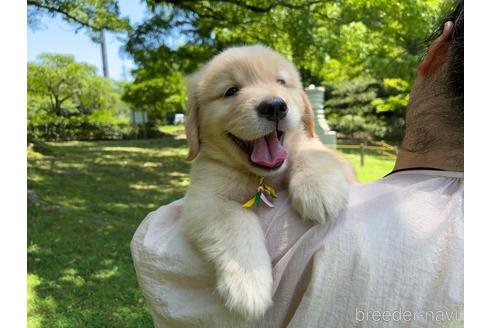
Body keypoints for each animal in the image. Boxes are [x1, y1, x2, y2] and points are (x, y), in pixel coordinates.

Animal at [181, 44, 354, 320]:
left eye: (281, 82)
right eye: (231, 90)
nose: (274, 107)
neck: (263, 176)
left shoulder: (332, 158)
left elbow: (311, 151)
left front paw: (318, 191)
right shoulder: (204, 199)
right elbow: (235, 220)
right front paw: (248, 285)